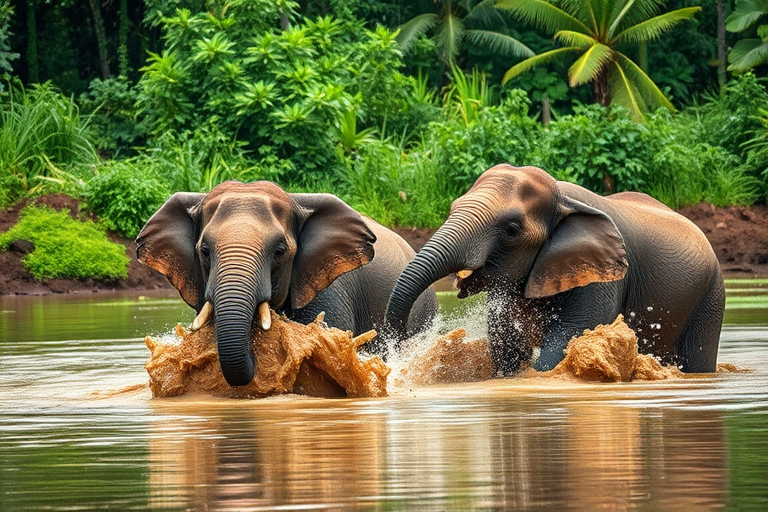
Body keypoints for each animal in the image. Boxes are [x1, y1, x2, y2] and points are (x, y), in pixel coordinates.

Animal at [385, 164, 724, 375]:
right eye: (453, 208)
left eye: (511, 229)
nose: (394, 353)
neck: (563, 198)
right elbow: (506, 347)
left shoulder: (602, 277)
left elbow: (566, 339)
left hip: (711, 295)